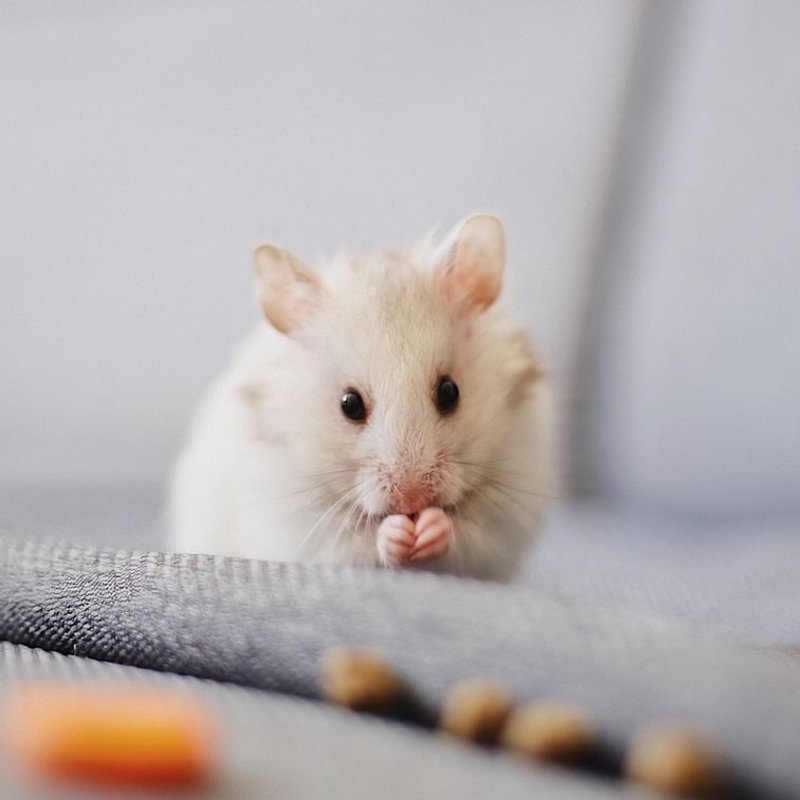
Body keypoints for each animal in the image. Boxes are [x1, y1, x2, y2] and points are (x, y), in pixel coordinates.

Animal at [168, 214, 553, 581]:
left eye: (449, 392)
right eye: (349, 404)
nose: (413, 499)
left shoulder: (507, 508)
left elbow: (467, 533)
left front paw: (430, 528)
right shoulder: (302, 523)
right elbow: (358, 540)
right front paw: (397, 533)